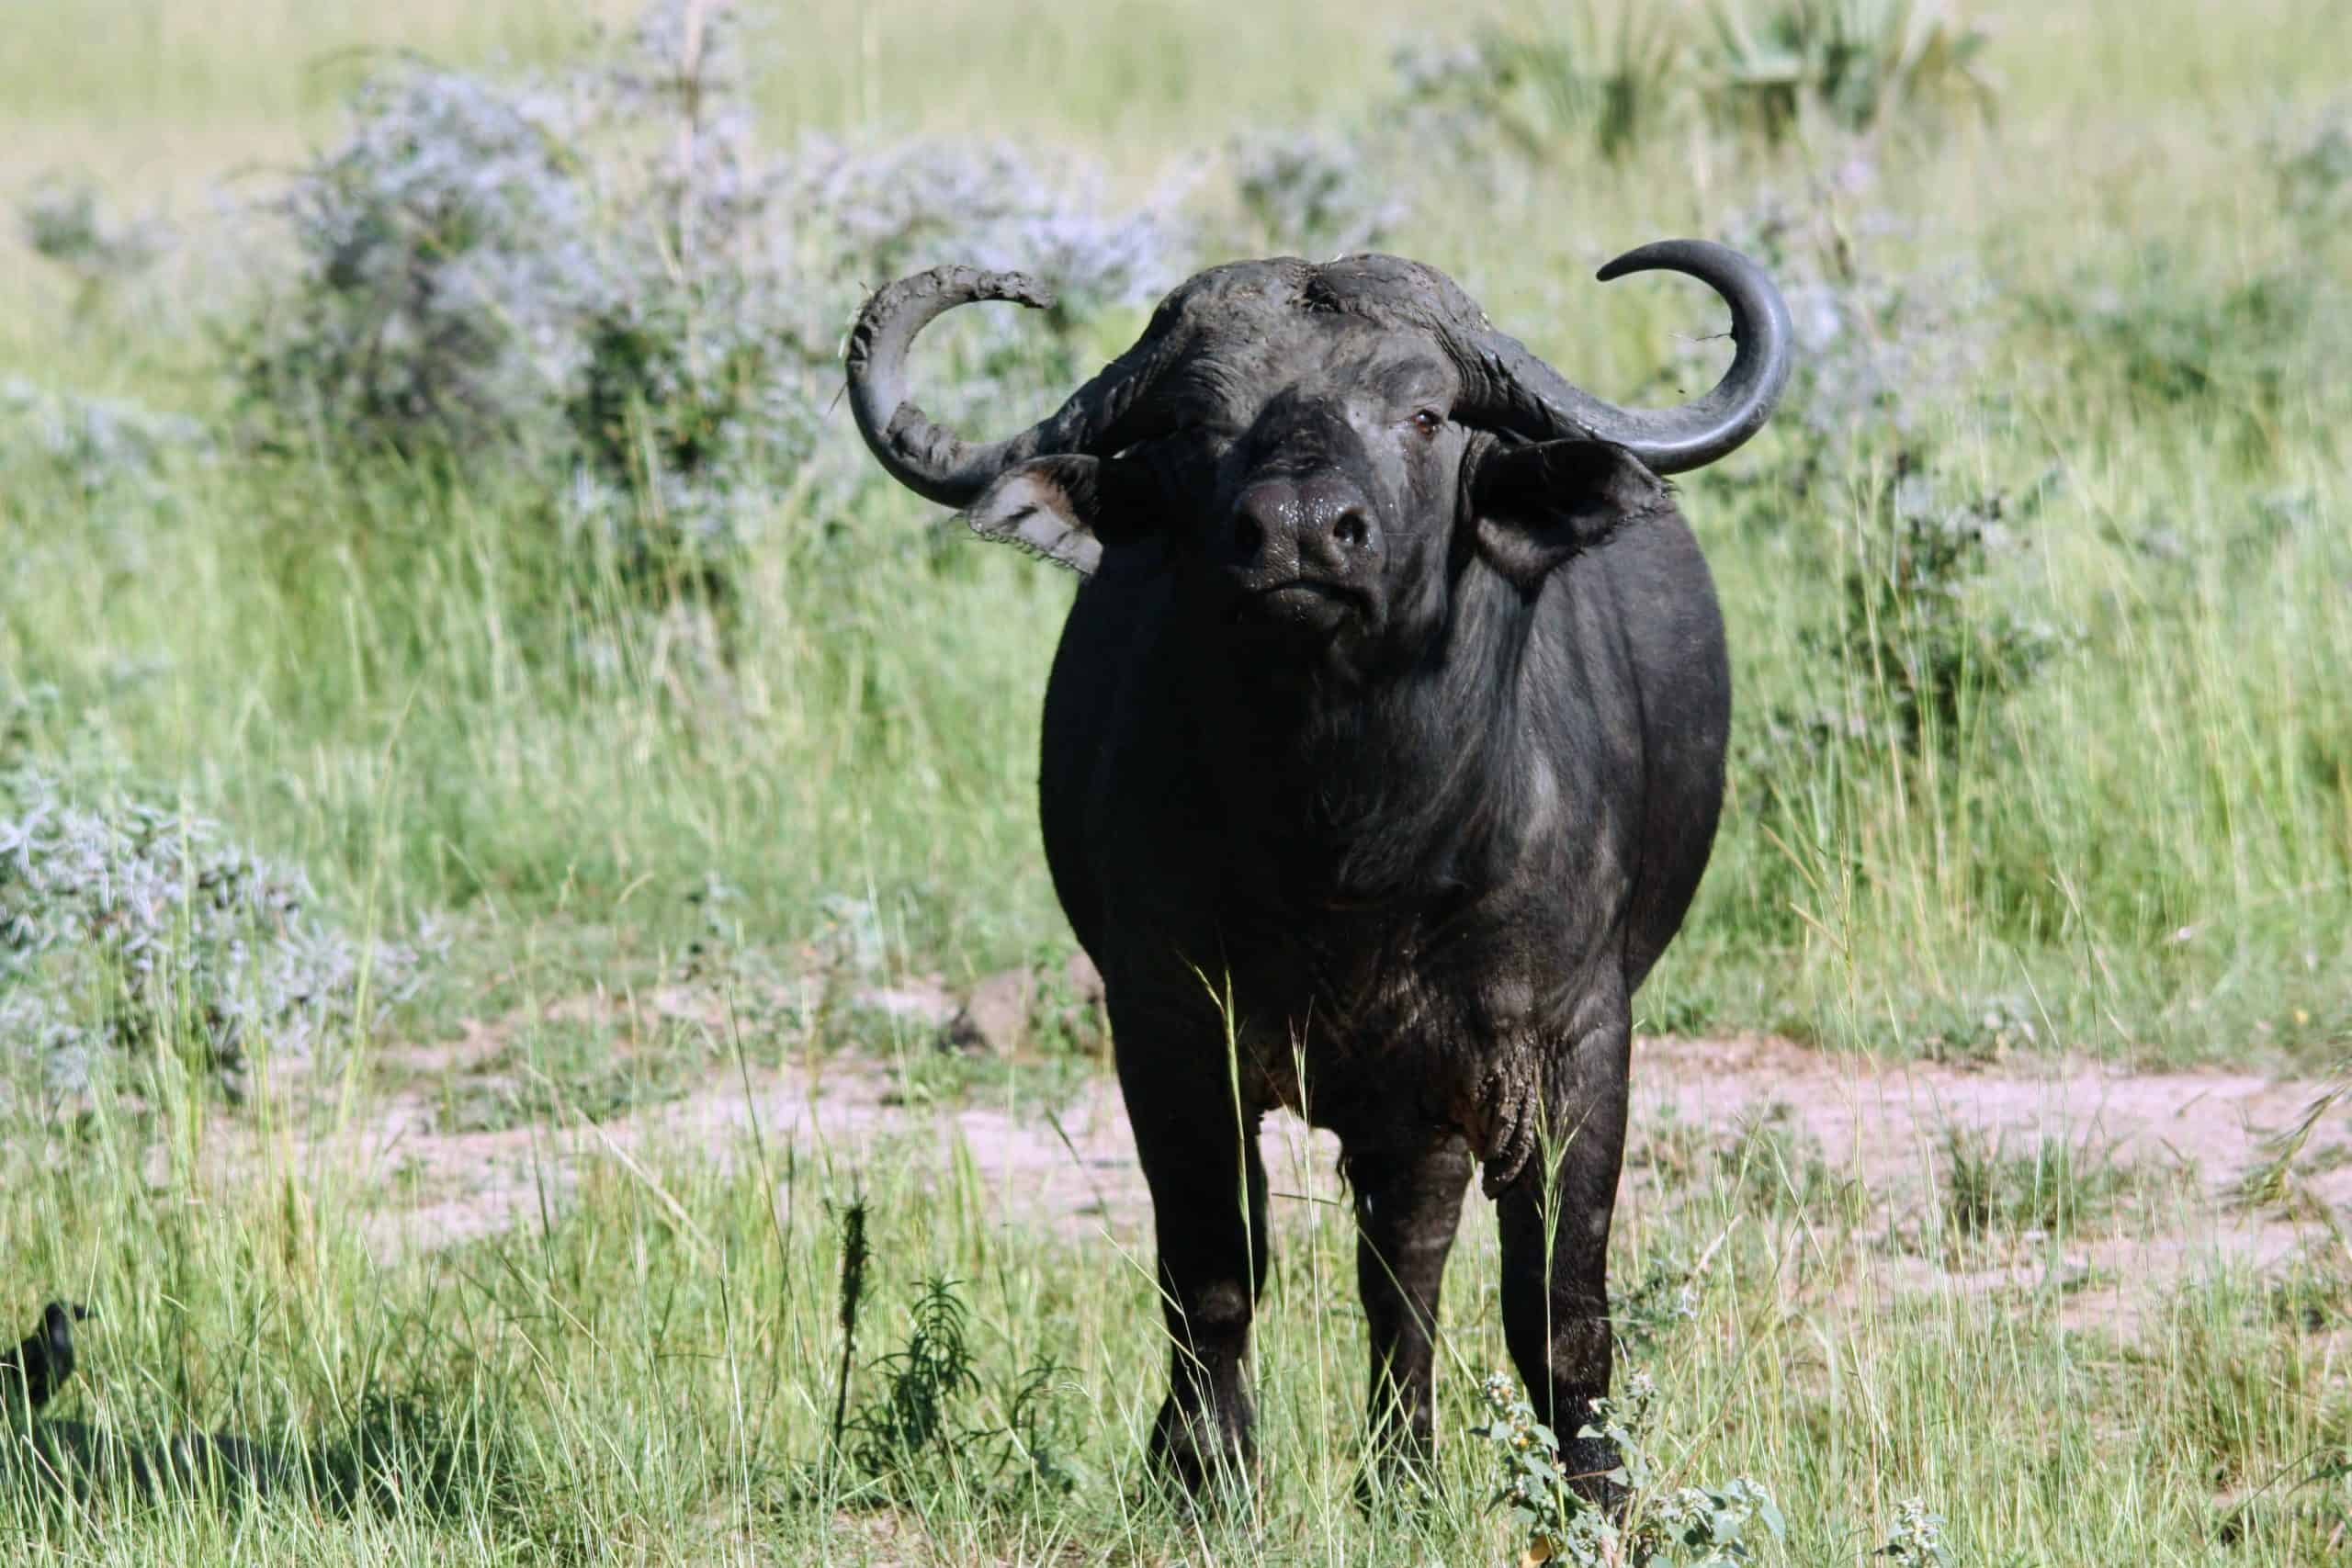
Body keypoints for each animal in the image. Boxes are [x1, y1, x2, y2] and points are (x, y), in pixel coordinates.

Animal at [845, 241, 1791, 1496]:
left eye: (1425, 413)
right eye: (1196, 423)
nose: (1298, 533)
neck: (1351, 845)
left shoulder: (1573, 1037)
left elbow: (1557, 1301)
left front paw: (1598, 1492)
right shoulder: (1168, 1025)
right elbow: (1213, 1268)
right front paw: (1201, 1476)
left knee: (1411, 1256)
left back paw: (1404, 1471)